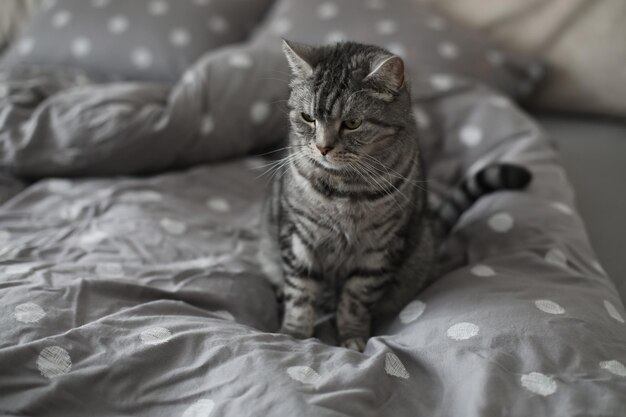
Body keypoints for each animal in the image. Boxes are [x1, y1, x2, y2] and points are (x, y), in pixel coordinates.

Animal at [260, 39, 532, 352]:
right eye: (308, 118)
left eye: (352, 123)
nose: (322, 148)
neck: (344, 188)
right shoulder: (299, 235)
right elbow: (300, 293)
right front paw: (294, 335)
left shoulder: (379, 247)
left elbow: (355, 300)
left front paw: (352, 337)